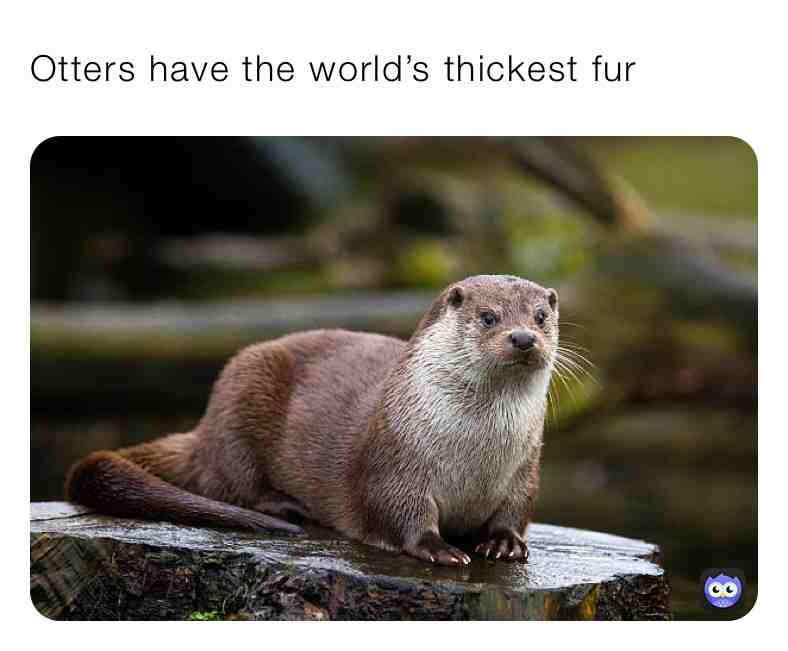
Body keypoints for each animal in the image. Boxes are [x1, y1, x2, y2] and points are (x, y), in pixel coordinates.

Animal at [66, 274, 558, 566]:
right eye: (488, 317)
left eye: (541, 317)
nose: (523, 338)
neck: (475, 454)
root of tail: (203, 431)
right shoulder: (394, 459)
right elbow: (398, 511)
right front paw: (439, 548)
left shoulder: (526, 468)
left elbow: (516, 510)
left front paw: (504, 543)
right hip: (241, 391)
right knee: (229, 481)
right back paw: (286, 506)